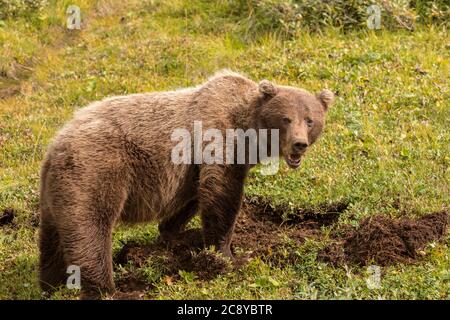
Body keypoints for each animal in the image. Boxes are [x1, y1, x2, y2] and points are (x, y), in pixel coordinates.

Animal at [39, 70, 334, 298]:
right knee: (91, 230)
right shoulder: (219, 136)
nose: (299, 144)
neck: (250, 130)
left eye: (310, 119)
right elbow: (222, 193)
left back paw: (51, 284)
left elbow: (195, 195)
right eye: (286, 118)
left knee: (52, 240)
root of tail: (55, 146)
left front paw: (176, 233)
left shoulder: (192, 167)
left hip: (56, 190)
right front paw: (228, 256)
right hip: (96, 170)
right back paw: (109, 289)